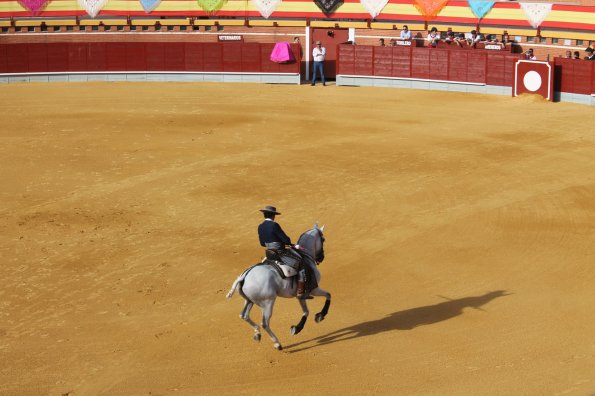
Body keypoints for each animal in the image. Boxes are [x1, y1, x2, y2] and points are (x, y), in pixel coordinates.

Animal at [227, 224, 332, 352]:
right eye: (323, 239)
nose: (321, 257)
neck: (305, 256)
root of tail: (244, 276)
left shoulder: (301, 295)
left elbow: (307, 310)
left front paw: (298, 327)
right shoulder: (313, 289)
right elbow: (327, 296)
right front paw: (319, 316)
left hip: (249, 301)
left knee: (244, 316)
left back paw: (257, 334)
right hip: (268, 302)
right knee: (265, 323)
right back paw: (277, 343)